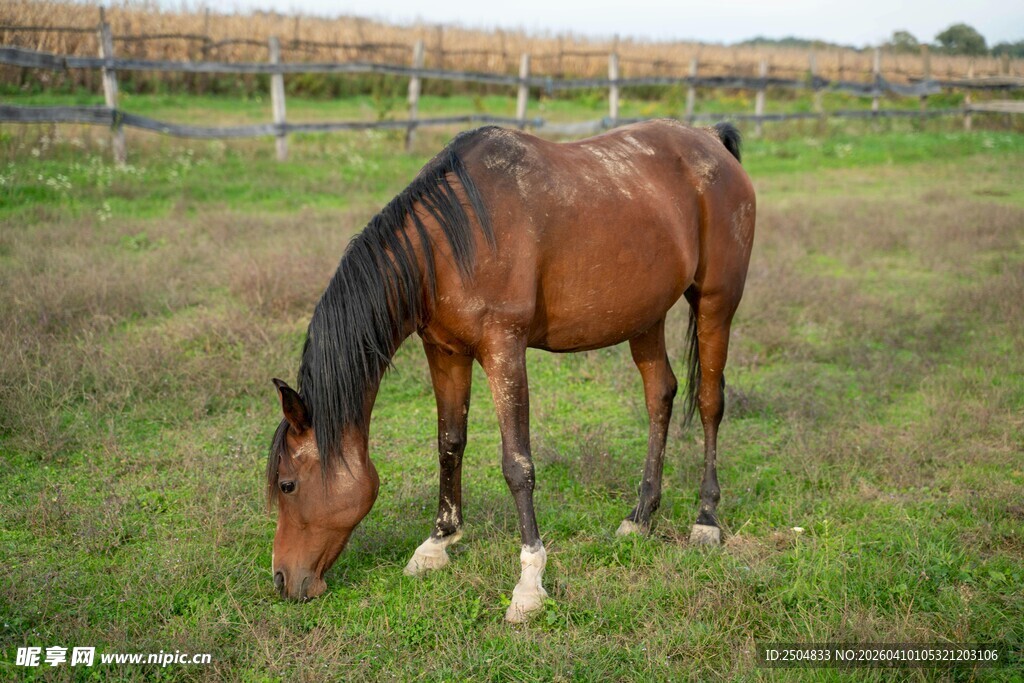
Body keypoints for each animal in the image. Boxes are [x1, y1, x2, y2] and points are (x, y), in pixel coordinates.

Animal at [267, 119, 755, 622]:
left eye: (287, 485)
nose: (283, 579)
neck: (448, 246)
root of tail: (710, 139)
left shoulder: (504, 350)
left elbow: (517, 465)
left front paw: (530, 583)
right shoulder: (445, 352)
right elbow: (449, 444)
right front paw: (436, 544)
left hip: (716, 302)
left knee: (710, 402)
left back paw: (706, 519)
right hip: (645, 317)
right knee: (660, 394)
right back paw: (640, 518)